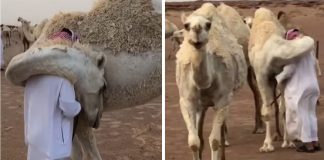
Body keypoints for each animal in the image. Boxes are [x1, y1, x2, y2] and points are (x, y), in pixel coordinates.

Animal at [176, 3, 247, 159]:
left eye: (208, 25)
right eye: (186, 25)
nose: (197, 29)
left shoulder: (223, 100)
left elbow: (214, 141)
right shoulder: (187, 101)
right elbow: (194, 142)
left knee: (220, 131)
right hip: (201, 105)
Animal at [248, 7, 314, 152]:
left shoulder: (282, 77)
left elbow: (284, 109)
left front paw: (288, 142)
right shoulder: (262, 76)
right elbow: (267, 111)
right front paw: (267, 145)